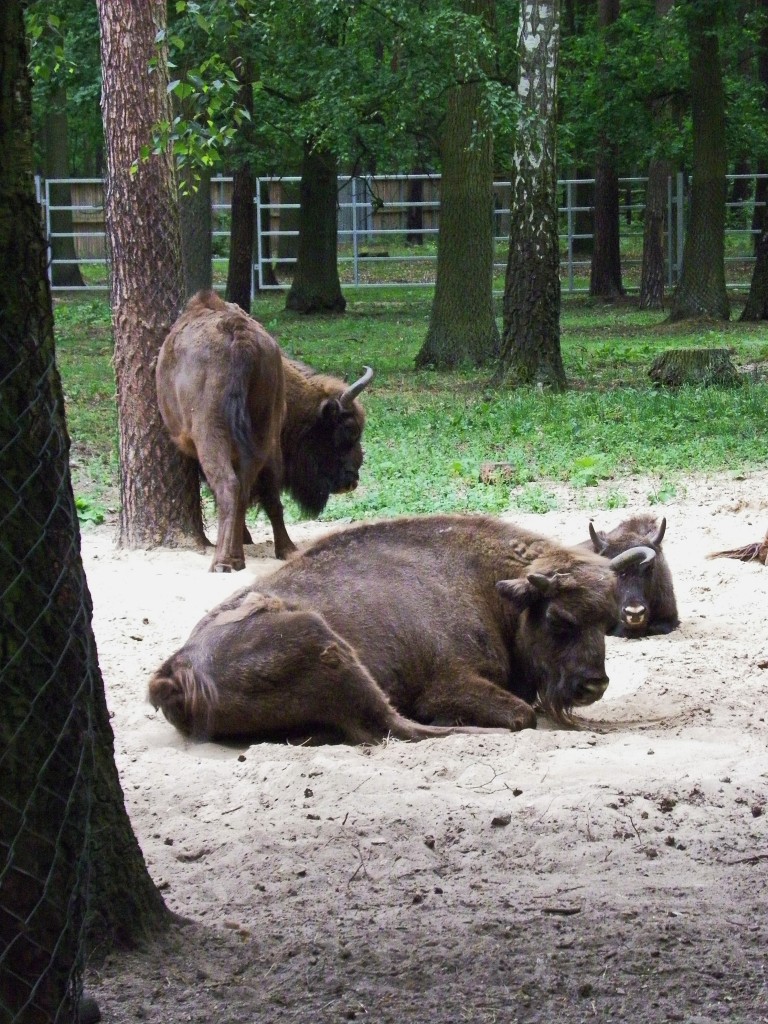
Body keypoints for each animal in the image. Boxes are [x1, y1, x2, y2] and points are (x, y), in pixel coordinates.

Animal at [147, 512, 651, 745]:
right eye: (558, 619)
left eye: (607, 623)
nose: (593, 685)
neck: (492, 588)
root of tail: (175, 672)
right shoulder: (450, 682)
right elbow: (522, 713)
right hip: (322, 641)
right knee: (394, 725)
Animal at [156, 292, 372, 573]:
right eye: (349, 430)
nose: (351, 480)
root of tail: (238, 334)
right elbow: (270, 498)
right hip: (260, 435)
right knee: (247, 489)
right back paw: (262, 553)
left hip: (212, 436)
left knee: (229, 486)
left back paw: (224, 561)